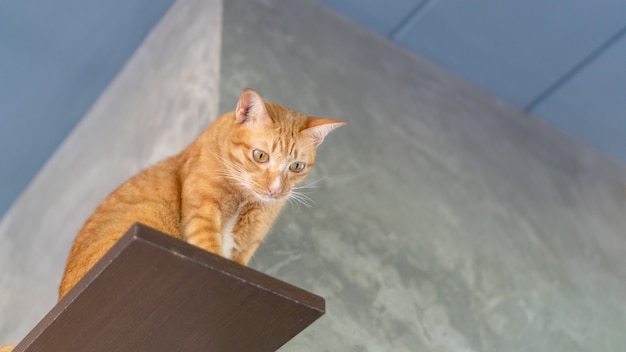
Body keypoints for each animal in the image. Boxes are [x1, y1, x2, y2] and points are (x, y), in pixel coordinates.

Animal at [57, 88, 342, 300]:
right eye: (260, 156)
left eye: (296, 166)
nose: (275, 189)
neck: (245, 199)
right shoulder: (203, 215)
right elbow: (210, 247)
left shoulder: (246, 248)